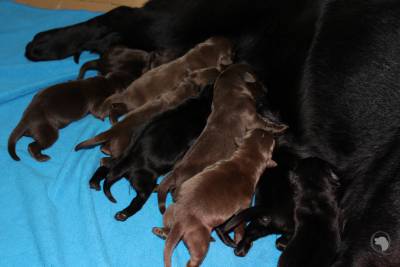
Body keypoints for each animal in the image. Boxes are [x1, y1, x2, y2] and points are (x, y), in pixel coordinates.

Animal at [87, 86, 212, 222]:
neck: (198, 103)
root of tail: (128, 161)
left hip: (118, 159)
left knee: (104, 167)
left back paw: (94, 182)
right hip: (144, 180)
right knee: (139, 198)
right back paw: (124, 213)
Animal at [153, 129, 278, 266]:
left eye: (256, 131)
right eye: (272, 141)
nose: (270, 132)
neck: (247, 159)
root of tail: (181, 221)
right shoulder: (244, 206)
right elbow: (240, 227)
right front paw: (239, 239)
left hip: (171, 210)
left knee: (168, 229)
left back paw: (160, 231)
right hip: (199, 238)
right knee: (194, 258)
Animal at [156, 62, 288, 214]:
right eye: (258, 79)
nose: (266, 88)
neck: (229, 93)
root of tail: (176, 173)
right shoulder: (252, 117)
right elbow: (265, 124)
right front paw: (282, 127)